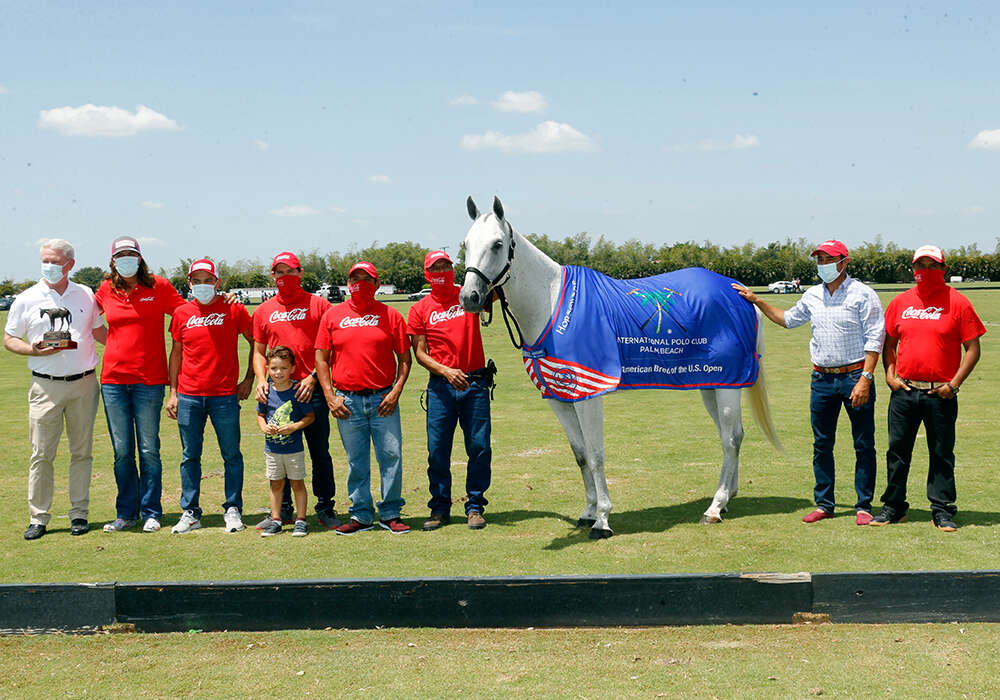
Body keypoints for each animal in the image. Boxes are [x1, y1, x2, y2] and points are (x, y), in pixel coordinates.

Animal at [460, 197, 780, 540]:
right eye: (465, 244)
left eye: (497, 244)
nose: (469, 297)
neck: (553, 306)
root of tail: (738, 290)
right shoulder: (560, 400)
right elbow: (580, 454)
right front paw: (588, 512)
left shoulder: (588, 395)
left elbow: (596, 455)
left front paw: (602, 520)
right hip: (712, 383)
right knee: (732, 435)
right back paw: (728, 497)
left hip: (727, 385)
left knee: (730, 439)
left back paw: (715, 507)